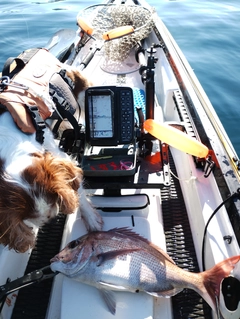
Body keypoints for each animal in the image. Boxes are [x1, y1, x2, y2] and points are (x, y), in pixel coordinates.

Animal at [0, 65, 102, 255]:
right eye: (29, 217)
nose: (52, 219)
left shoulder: (59, 156)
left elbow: (78, 190)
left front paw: (91, 219)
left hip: (85, 93)